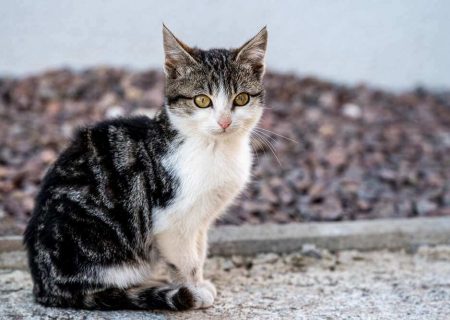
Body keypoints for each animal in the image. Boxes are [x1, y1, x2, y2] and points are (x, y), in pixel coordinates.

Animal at [23, 25, 268, 310]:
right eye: (202, 101)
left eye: (241, 99)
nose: (225, 122)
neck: (214, 148)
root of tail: (43, 286)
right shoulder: (170, 220)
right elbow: (186, 261)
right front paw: (193, 290)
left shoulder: (200, 220)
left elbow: (199, 251)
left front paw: (197, 283)